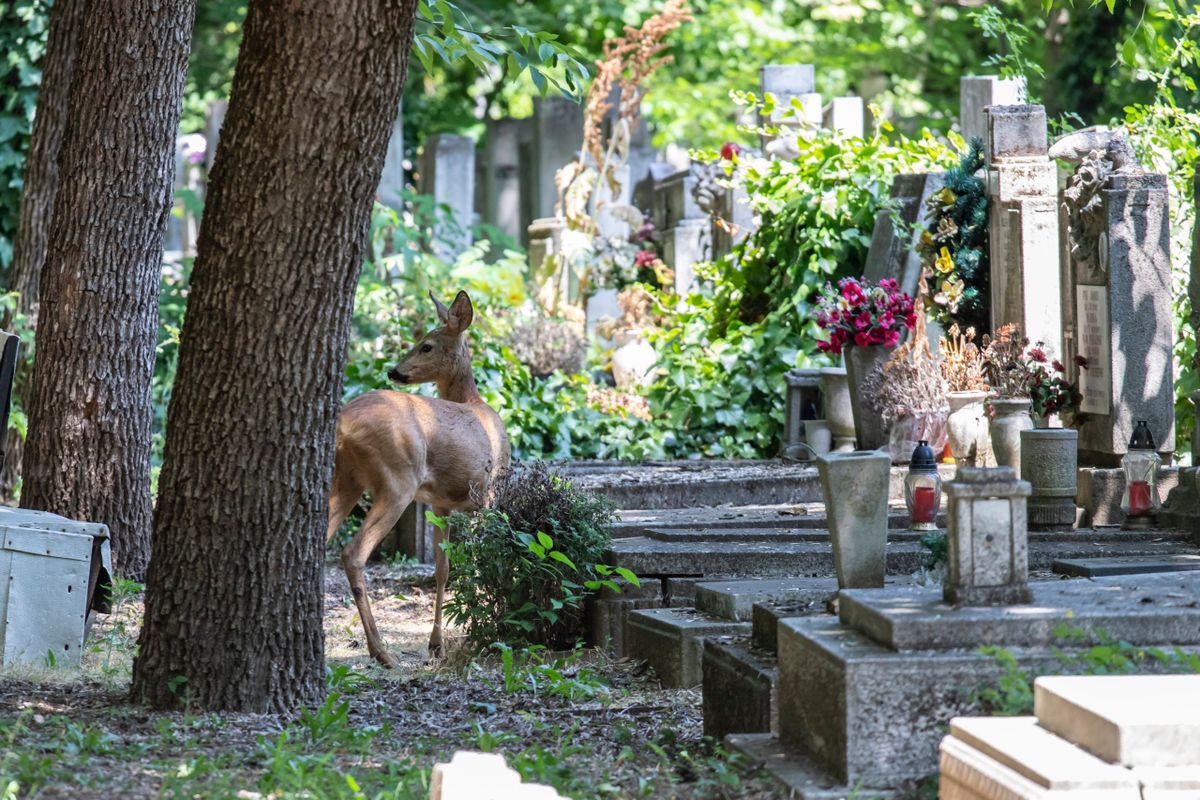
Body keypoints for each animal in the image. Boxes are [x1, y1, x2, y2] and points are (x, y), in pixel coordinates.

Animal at [328, 291, 511, 666]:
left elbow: (443, 568)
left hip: (346, 479)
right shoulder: (488, 495)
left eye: (426, 345)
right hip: (398, 481)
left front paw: (437, 645)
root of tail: (344, 426)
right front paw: (487, 628)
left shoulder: (441, 504)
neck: (476, 403)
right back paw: (381, 651)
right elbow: (482, 560)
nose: (394, 371)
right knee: (352, 553)